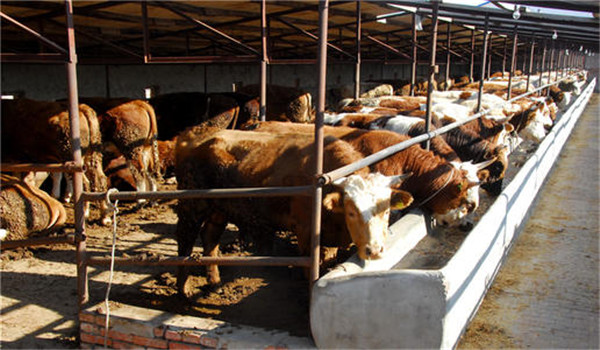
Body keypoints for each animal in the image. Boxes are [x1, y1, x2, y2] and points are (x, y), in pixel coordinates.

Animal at [173, 126, 412, 296]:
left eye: (386, 211)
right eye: (351, 211)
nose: (375, 250)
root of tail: (191, 138)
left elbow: (328, 260)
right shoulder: (305, 231)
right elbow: (311, 267)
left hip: (219, 209)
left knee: (210, 238)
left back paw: (214, 282)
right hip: (192, 206)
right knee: (185, 239)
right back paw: (184, 289)